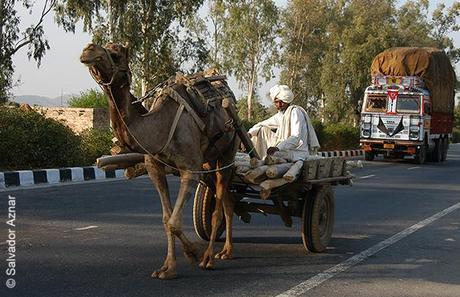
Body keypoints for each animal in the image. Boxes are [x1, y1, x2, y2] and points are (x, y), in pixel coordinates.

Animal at [82, 42, 241, 278]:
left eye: (116, 54)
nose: (88, 50)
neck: (160, 126)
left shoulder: (190, 169)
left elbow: (174, 221)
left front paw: (193, 253)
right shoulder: (155, 168)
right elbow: (166, 220)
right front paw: (167, 268)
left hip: (228, 151)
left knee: (218, 209)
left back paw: (209, 258)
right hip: (209, 161)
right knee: (228, 201)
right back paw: (226, 251)